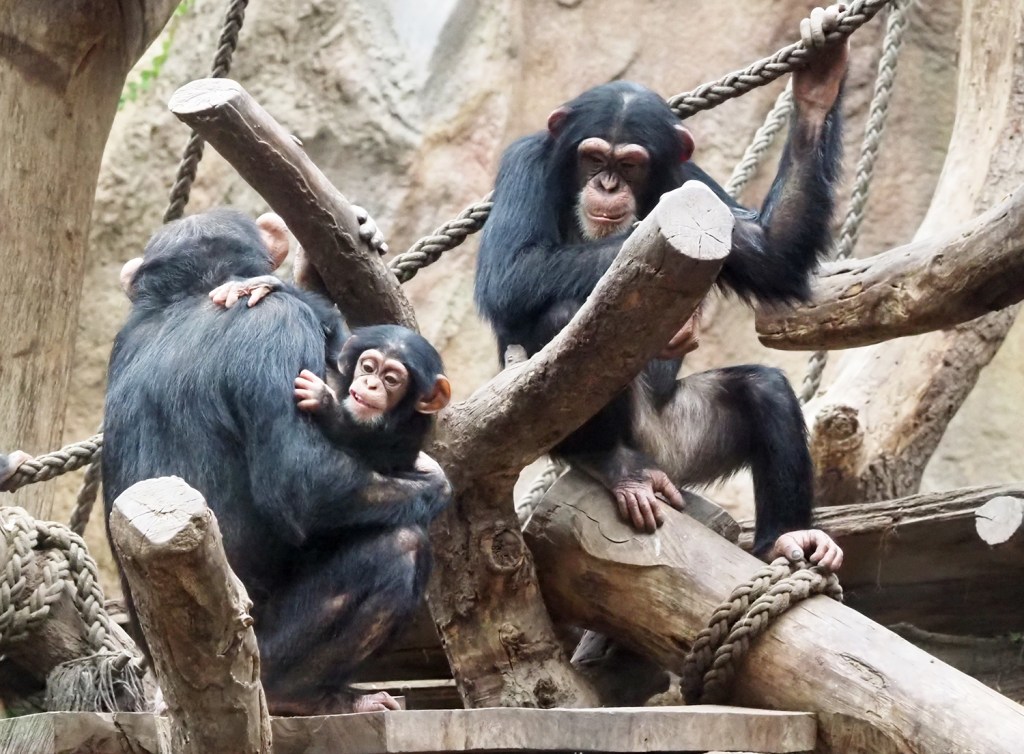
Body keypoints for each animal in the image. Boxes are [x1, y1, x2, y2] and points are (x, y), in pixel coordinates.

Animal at [104, 208, 452, 717]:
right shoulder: (279, 324)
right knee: (398, 545)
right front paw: (435, 481)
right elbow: (300, 482)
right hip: (260, 647)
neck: (188, 295)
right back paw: (304, 694)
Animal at [475, 23, 851, 569]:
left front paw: (820, 80)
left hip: (682, 439)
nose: (608, 184)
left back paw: (788, 536)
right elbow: (510, 270)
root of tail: (656, 461)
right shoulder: (523, 162)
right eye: (593, 157)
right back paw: (609, 462)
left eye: (631, 164)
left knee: (765, 390)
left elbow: (772, 251)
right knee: (562, 317)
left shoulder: (693, 184)